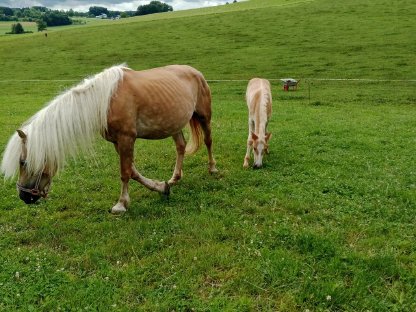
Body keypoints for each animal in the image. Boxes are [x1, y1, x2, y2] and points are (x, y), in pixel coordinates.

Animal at [0, 64, 218, 213]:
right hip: (174, 125)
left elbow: (125, 172)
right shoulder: (117, 142)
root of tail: (195, 71)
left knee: (208, 141)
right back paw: (174, 179)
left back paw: (213, 169)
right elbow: (132, 171)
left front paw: (121, 204)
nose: (23, 196)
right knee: (180, 147)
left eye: (22, 162)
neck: (103, 101)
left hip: (204, 116)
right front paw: (161, 187)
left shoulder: (126, 138)